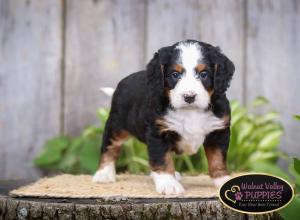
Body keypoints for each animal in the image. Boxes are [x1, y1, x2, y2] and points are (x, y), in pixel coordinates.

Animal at [92, 39, 236, 194]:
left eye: (204, 74)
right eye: (175, 74)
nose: (189, 97)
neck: (190, 112)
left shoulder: (219, 132)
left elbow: (217, 159)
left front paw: (222, 179)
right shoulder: (158, 133)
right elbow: (162, 159)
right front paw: (168, 184)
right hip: (116, 125)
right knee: (110, 147)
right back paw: (104, 174)